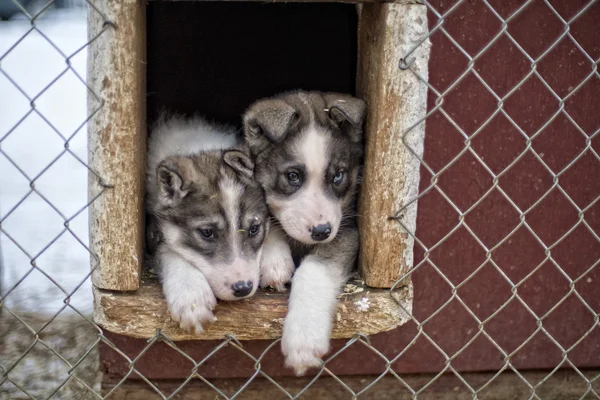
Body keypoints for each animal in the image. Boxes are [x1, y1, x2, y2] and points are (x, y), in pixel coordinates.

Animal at [146, 115, 268, 334]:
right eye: (207, 233)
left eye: (254, 229)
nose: (243, 288)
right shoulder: (152, 233)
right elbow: (169, 250)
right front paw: (191, 296)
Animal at [243, 90, 366, 376]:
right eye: (293, 176)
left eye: (338, 176)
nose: (321, 231)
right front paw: (275, 263)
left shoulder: (346, 231)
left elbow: (312, 271)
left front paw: (304, 339)